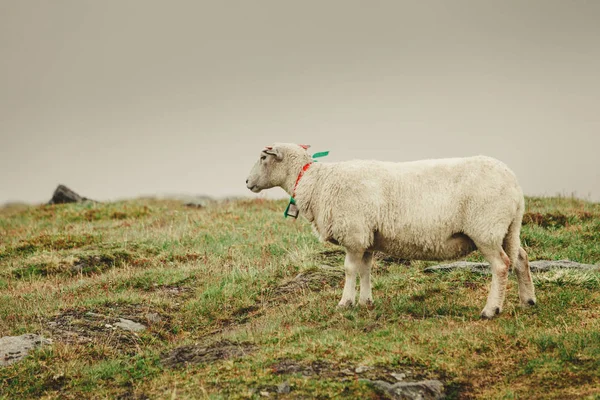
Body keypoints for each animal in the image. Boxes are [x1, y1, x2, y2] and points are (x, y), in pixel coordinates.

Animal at [246, 144, 536, 318]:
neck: (315, 180)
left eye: (263, 157)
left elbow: (349, 270)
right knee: (521, 258)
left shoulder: (354, 233)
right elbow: (365, 269)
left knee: (501, 265)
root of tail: (513, 182)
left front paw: (345, 303)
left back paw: (491, 309)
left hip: (486, 228)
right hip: (508, 228)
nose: (247, 182)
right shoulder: (367, 237)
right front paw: (366, 301)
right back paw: (528, 301)